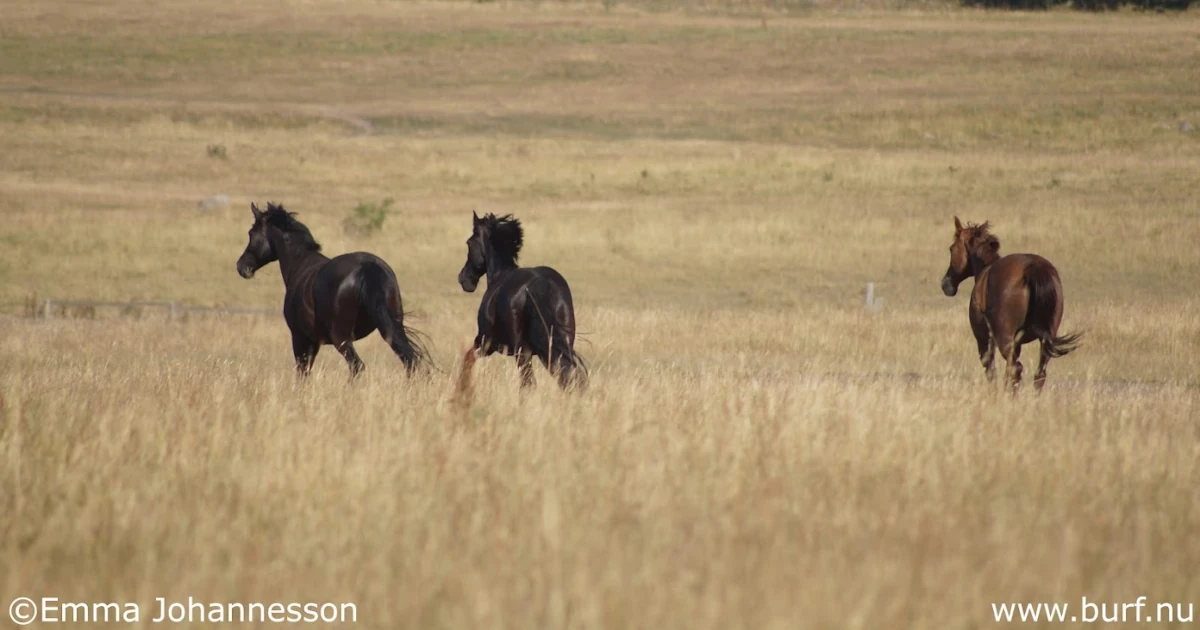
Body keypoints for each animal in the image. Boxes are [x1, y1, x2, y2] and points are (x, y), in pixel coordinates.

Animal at [235, 201, 427, 376]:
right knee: (409, 361)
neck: (300, 263)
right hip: (391, 328)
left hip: (341, 338)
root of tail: (368, 266)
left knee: (357, 366)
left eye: (251, 233)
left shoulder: (300, 338)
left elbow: (302, 372)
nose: (241, 266)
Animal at [453, 211, 585, 388]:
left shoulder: (484, 342)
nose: (463, 279)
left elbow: (467, 359)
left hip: (523, 352)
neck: (499, 275)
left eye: (469, 242)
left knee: (529, 382)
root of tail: (541, 282)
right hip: (556, 346)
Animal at [940, 218, 1084, 391]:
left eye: (951, 248)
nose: (946, 284)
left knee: (1016, 370)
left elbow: (992, 373)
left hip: (1004, 340)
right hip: (1045, 341)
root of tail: (1033, 268)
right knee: (1038, 374)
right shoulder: (1017, 345)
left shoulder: (984, 340)